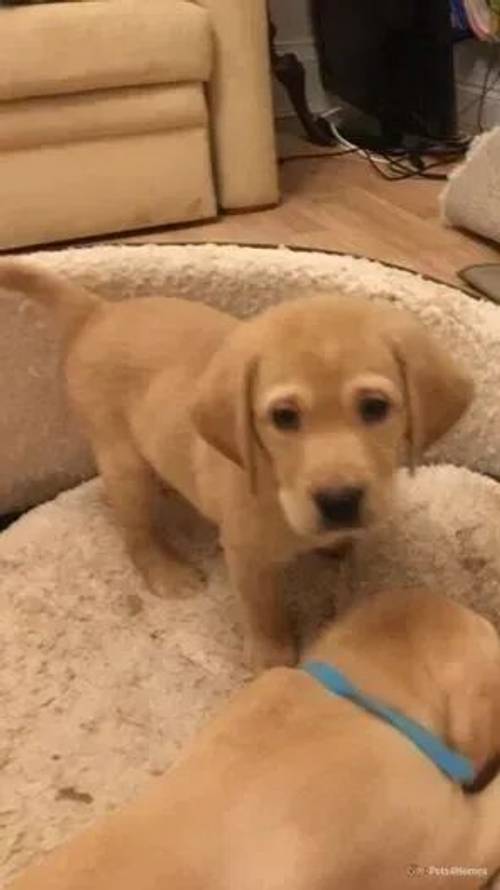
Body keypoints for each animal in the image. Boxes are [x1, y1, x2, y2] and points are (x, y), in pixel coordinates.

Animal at [0, 264, 472, 664]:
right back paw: (167, 572)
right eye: (284, 417)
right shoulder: (247, 555)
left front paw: (336, 543)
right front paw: (271, 656)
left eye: (375, 407)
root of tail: (99, 312)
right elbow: (263, 610)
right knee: (136, 531)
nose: (339, 501)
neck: (277, 486)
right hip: (122, 461)